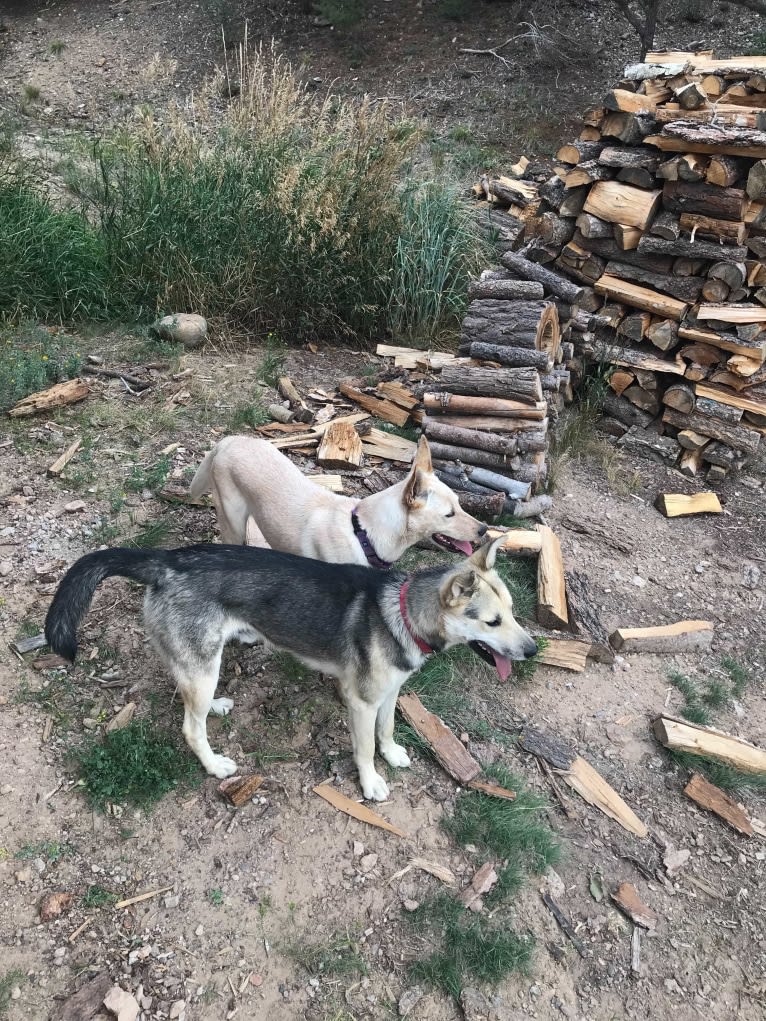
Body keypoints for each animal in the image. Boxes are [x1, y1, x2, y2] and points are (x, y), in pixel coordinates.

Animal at [44, 539, 535, 800]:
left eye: (513, 612)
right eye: (492, 622)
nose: (532, 649)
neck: (403, 612)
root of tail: (164, 560)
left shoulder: (390, 693)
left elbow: (388, 729)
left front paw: (393, 753)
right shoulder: (360, 702)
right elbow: (363, 749)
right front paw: (371, 782)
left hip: (200, 664)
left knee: (186, 696)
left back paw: (216, 706)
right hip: (203, 669)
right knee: (189, 727)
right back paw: (214, 765)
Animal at [190, 434, 486, 567]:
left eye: (460, 504)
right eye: (449, 514)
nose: (484, 529)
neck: (365, 535)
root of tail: (230, 440)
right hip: (232, 520)